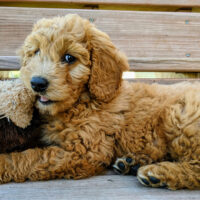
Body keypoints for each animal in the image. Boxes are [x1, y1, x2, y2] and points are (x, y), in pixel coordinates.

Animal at [0, 14, 199, 189]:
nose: (37, 83)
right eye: (36, 52)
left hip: (178, 115)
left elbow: (30, 158)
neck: (81, 102)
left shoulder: (84, 151)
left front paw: (3, 164)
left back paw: (157, 174)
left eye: (69, 57)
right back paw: (131, 163)